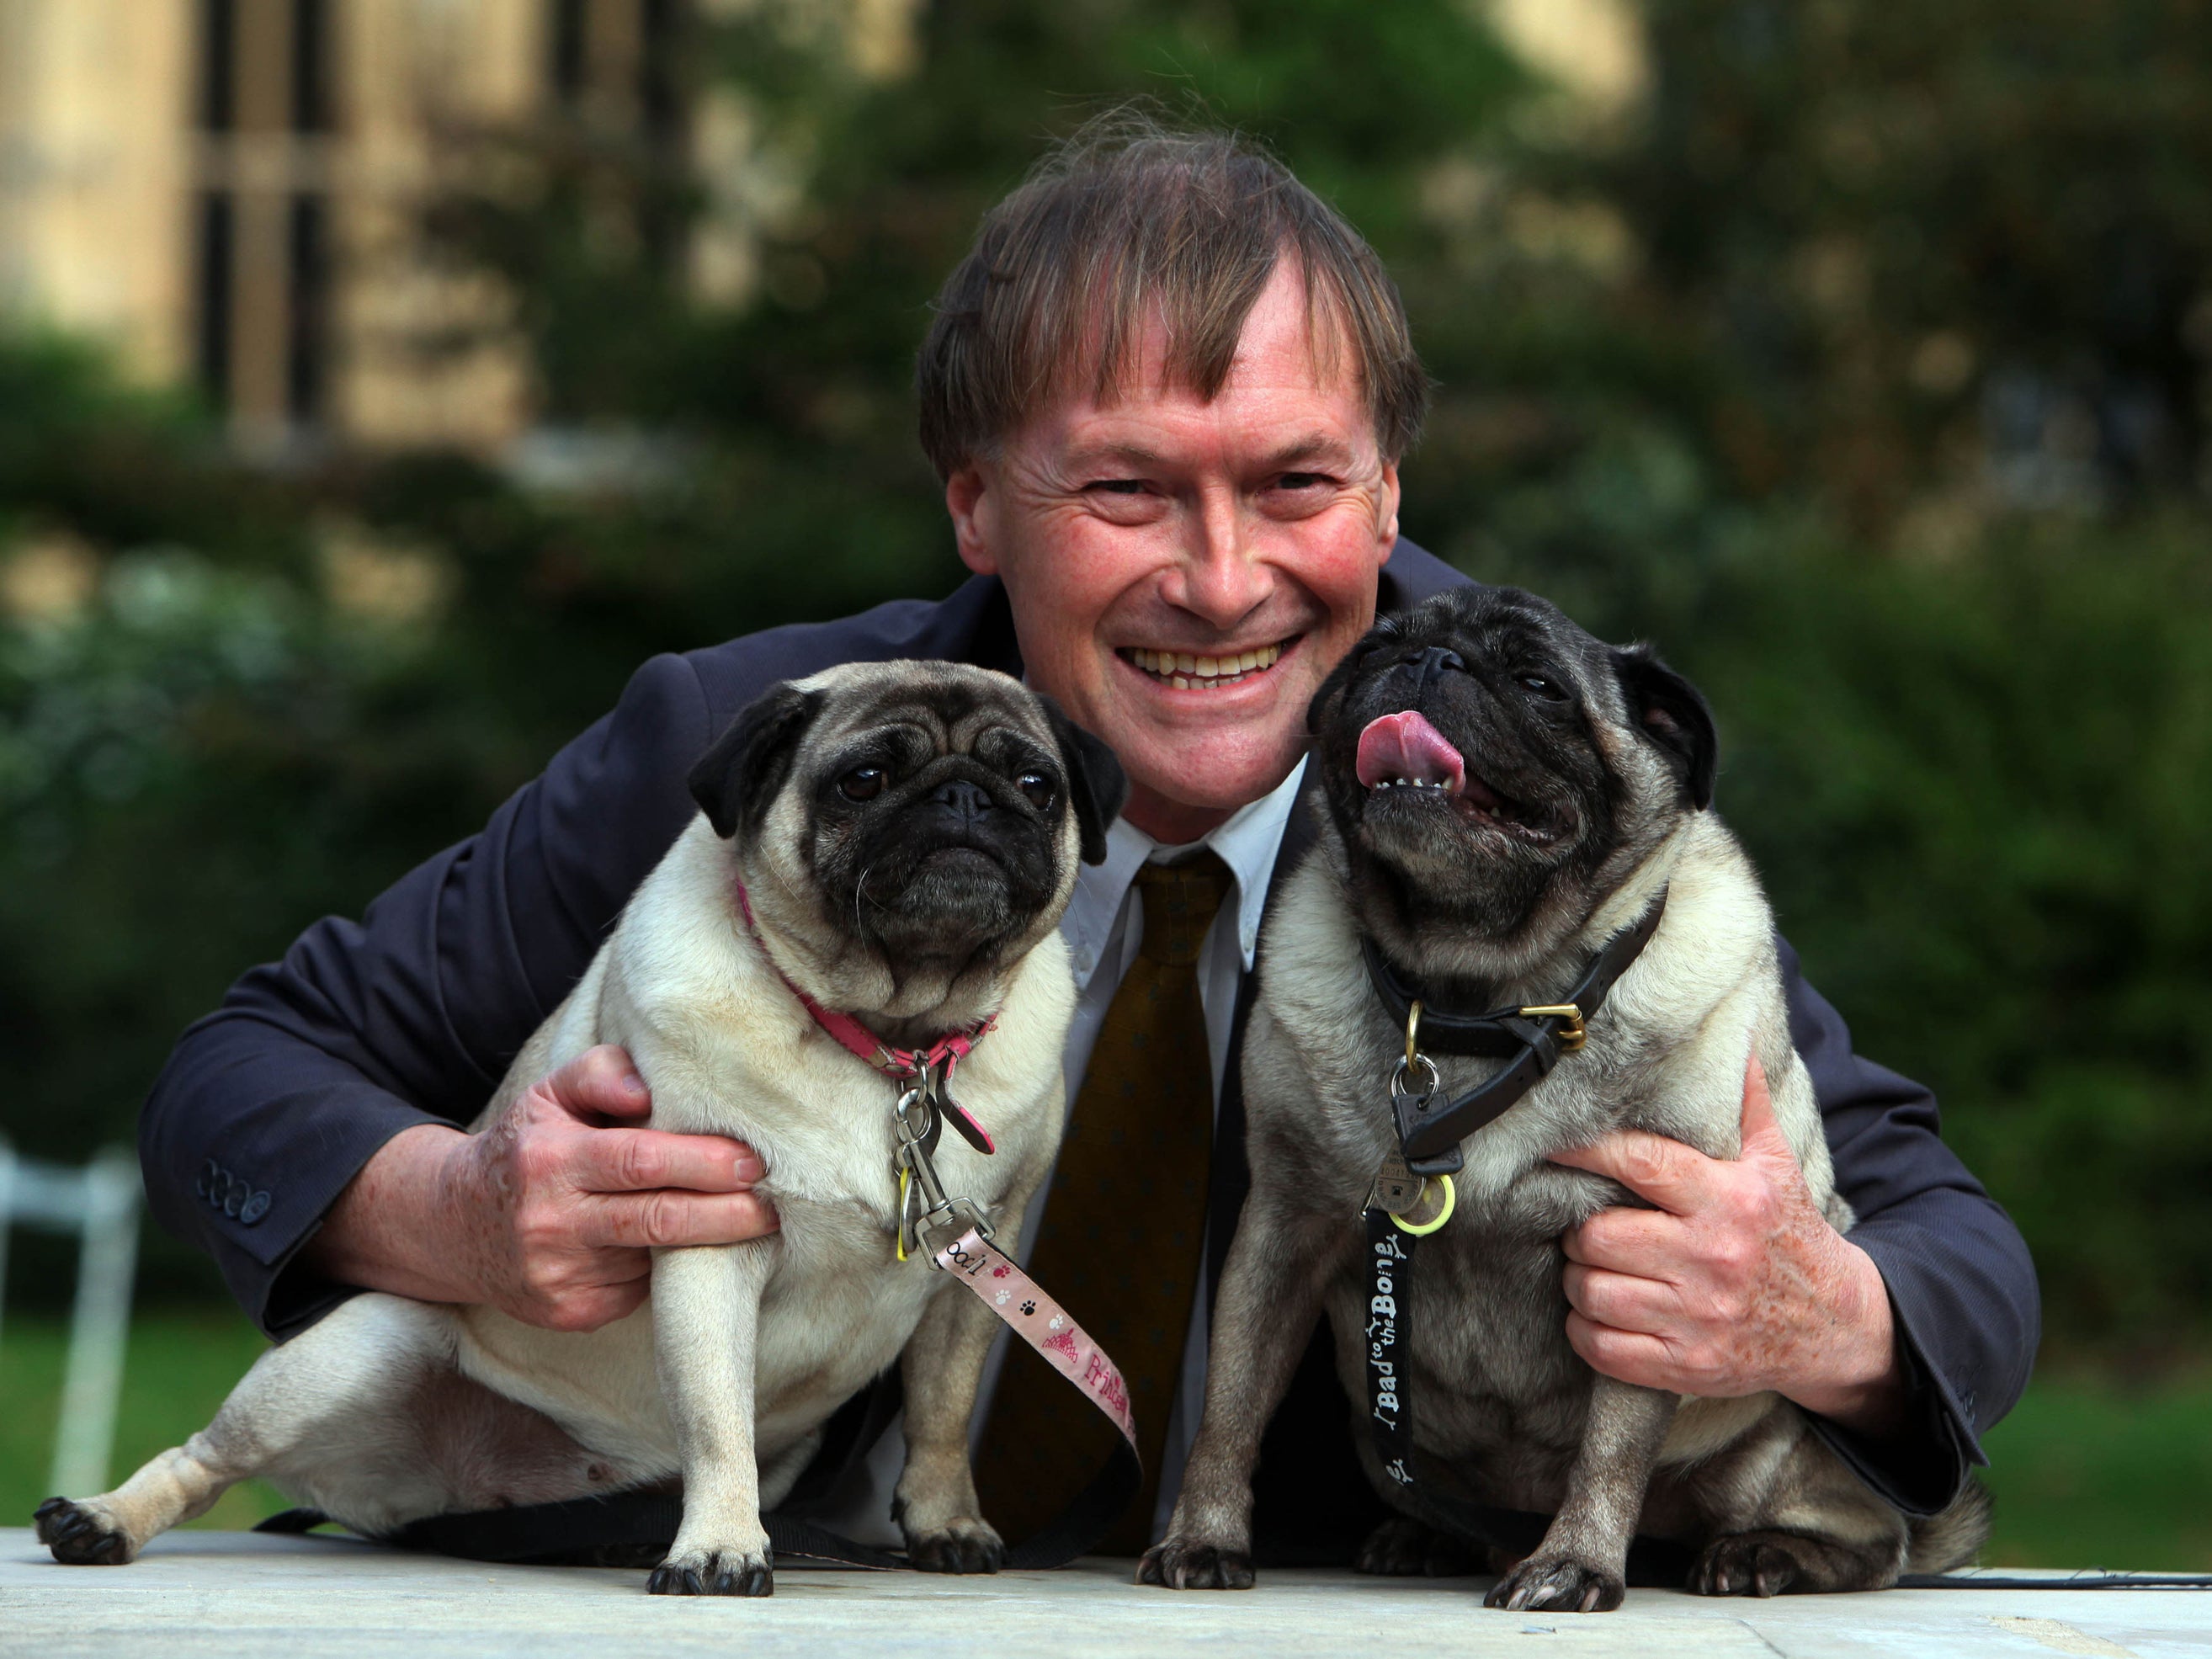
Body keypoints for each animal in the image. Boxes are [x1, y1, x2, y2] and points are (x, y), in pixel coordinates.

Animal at [39, 659, 1124, 1601]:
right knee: (204, 1459)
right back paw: (102, 1517)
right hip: (348, 1349)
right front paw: (720, 1547)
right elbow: (717, 1415)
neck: (890, 1042)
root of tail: (463, 1485)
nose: (966, 799)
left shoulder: (976, 1265)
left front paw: (946, 1522)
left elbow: (942, 1410)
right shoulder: (709, 1240)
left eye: (1036, 784)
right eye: (865, 780)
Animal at [1141, 588, 1991, 1610]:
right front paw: (1204, 1533)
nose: (1431, 661)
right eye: (1377, 649)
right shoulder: (1285, 1226)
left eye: (1539, 684)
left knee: (1870, 1543)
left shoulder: (1650, 1270)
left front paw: (1576, 1561)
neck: (1481, 1003)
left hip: (1781, 1448)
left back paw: (1764, 1554)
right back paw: (1428, 1538)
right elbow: (1231, 1406)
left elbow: (1613, 1445)